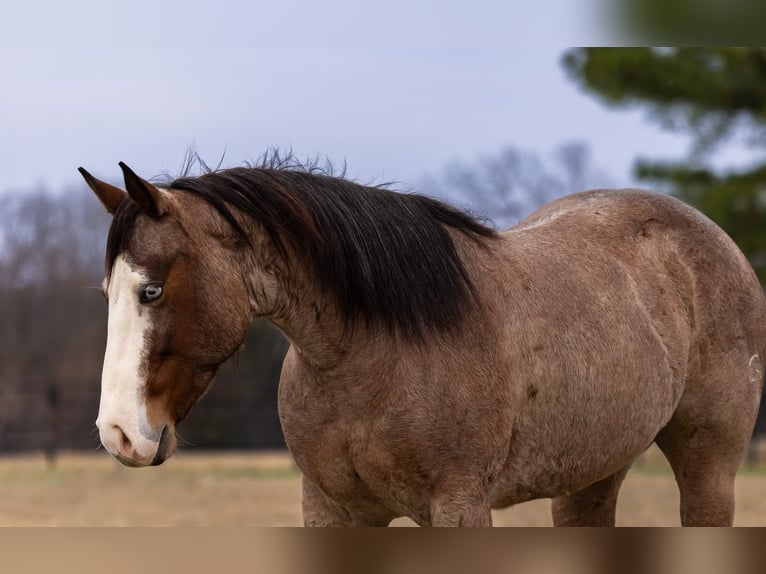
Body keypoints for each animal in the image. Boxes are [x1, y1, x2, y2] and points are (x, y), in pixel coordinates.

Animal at [79, 159, 766, 526]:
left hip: (709, 470)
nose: (118, 433)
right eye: (109, 290)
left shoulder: (459, 506)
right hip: (590, 477)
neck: (369, 357)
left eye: (151, 291)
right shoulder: (332, 508)